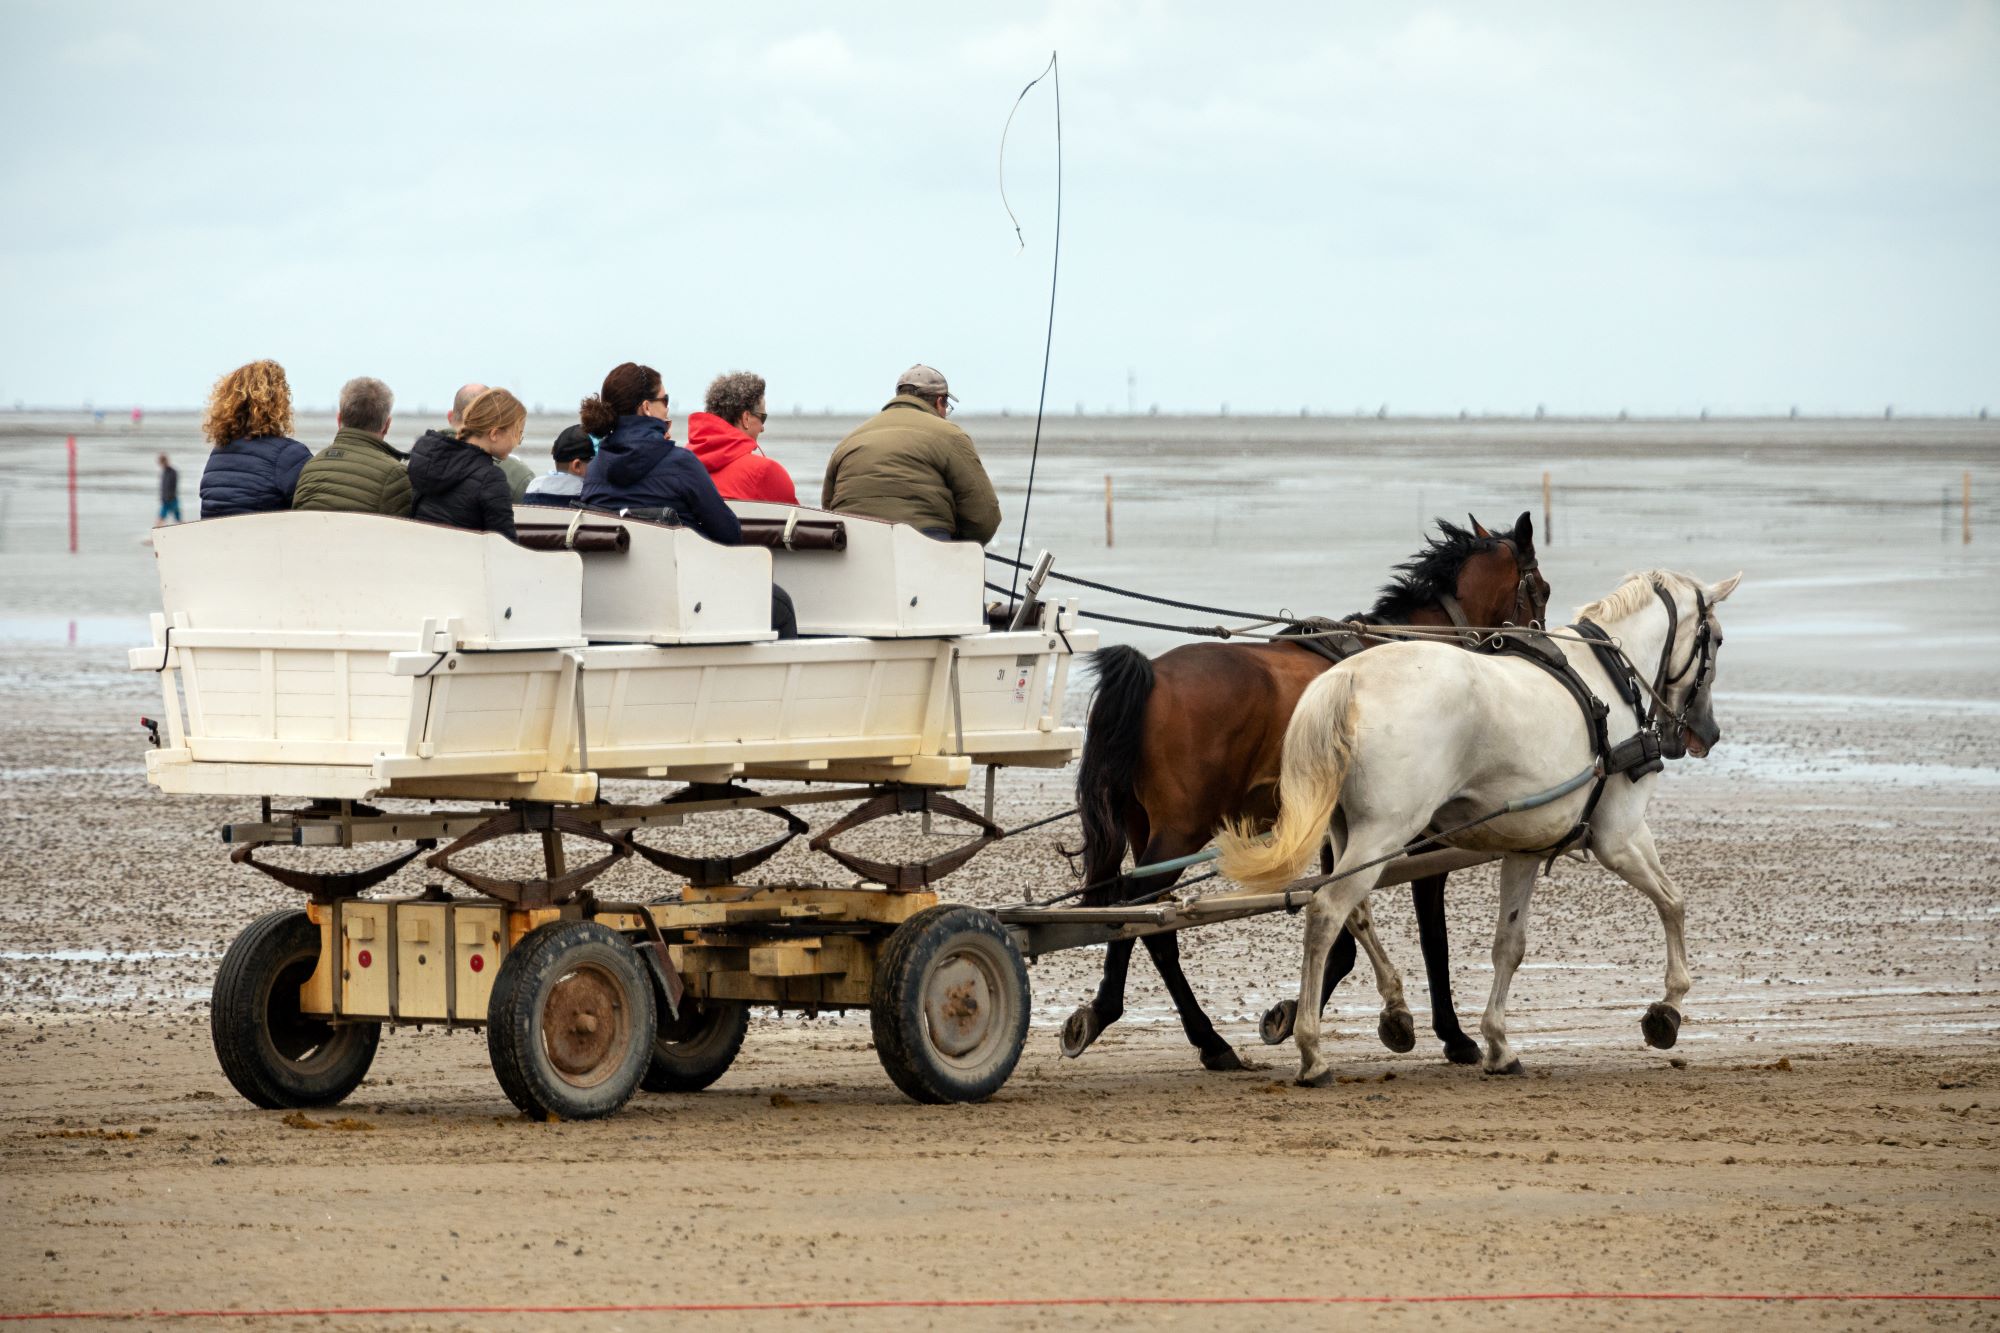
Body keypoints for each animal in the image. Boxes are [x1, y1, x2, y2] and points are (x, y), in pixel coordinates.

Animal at [1064, 510, 1544, 1072]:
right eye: (1542, 590)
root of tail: (1153, 674)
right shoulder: (1417, 836)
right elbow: (1429, 937)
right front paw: (1448, 1032)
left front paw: (1307, 1013)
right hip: (1180, 831)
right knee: (1140, 914)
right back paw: (1163, 1027)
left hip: (1146, 828)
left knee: (1142, 920)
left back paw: (1166, 1027)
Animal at [1208, 568, 1744, 1080]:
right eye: (1716, 639)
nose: (1707, 733)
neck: (1606, 679)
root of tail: (1350, 678)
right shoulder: (1621, 837)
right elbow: (1673, 902)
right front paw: (1668, 1007)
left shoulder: (1526, 850)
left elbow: (1510, 946)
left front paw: (1499, 1044)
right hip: (1385, 832)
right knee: (1325, 913)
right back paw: (1312, 1052)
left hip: (1347, 835)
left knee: (1354, 914)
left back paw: (1388, 1012)